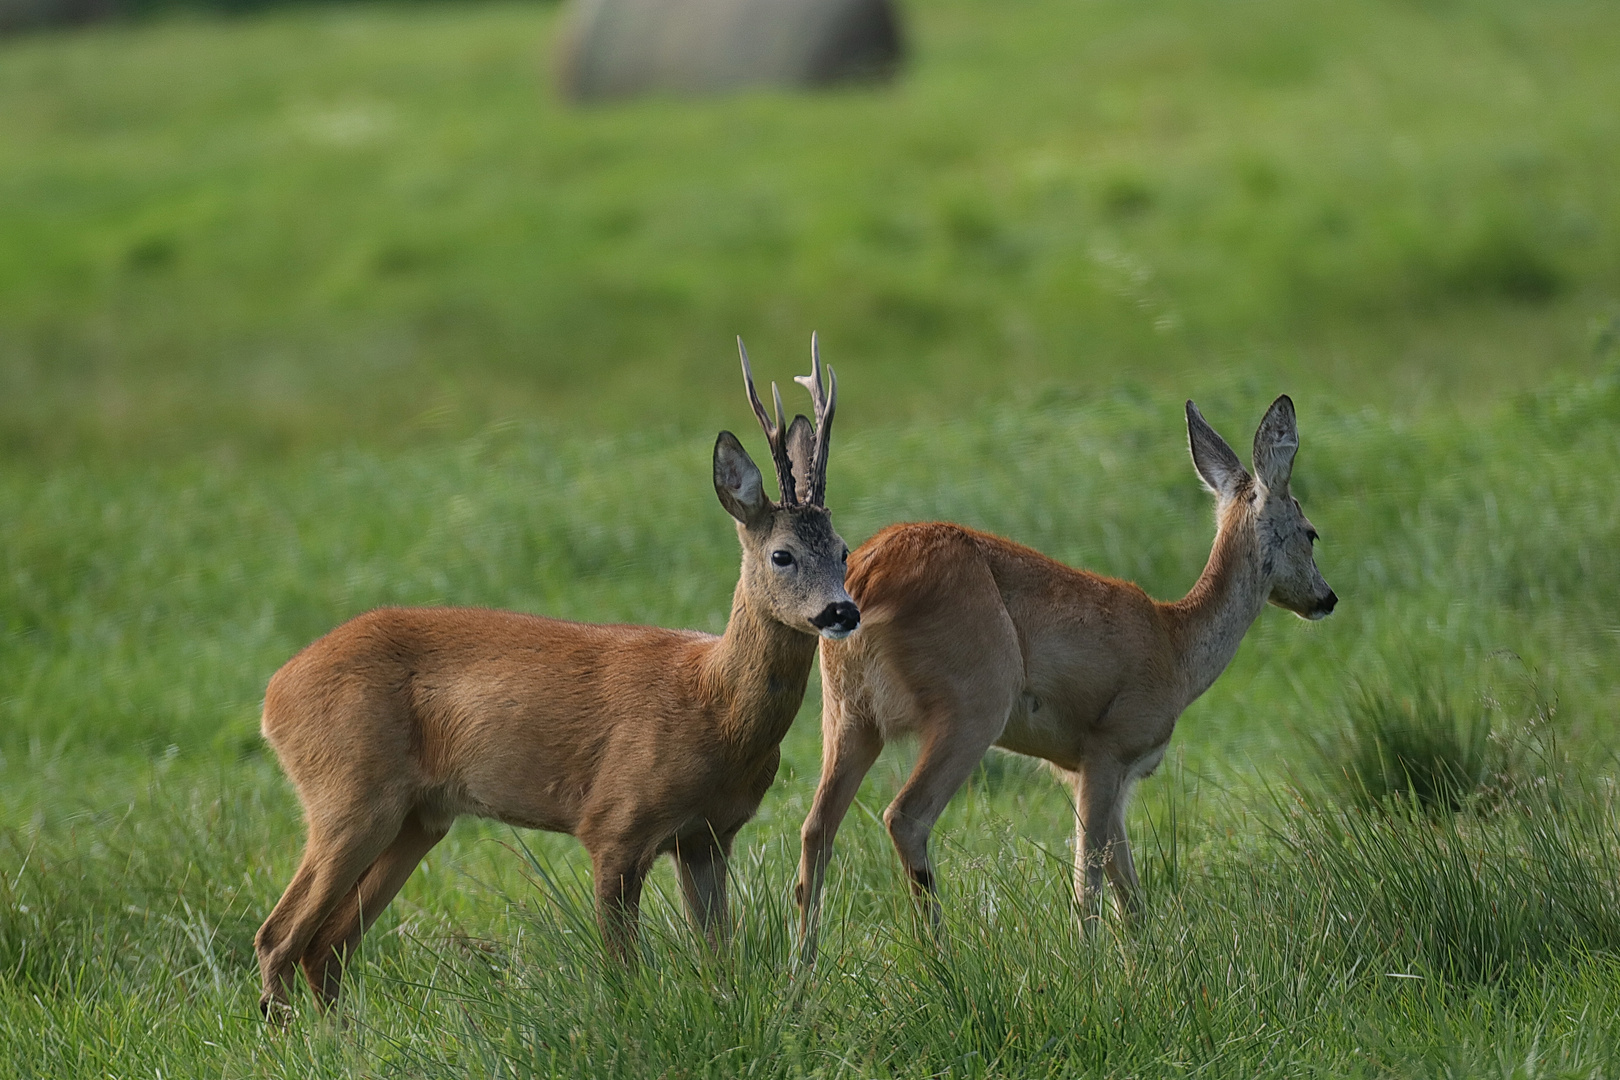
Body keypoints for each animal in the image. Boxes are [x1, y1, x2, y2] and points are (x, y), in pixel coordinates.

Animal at [249, 338, 861, 1016]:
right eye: (782, 554)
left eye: (843, 550)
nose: (842, 611)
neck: (713, 706)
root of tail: (273, 697)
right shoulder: (615, 821)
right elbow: (625, 967)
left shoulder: (708, 836)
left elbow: (719, 958)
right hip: (348, 791)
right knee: (278, 936)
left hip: (419, 816)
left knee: (325, 947)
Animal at [790, 395, 1334, 965]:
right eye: (1311, 532)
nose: (1328, 598)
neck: (1177, 648)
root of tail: (867, 580)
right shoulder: (1107, 747)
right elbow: (1089, 870)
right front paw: (1088, 961)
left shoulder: (1089, 770)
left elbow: (1128, 888)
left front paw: (1138, 960)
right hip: (974, 703)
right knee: (904, 816)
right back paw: (942, 959)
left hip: (848, 714)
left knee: (815, 827)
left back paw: (803, 969)